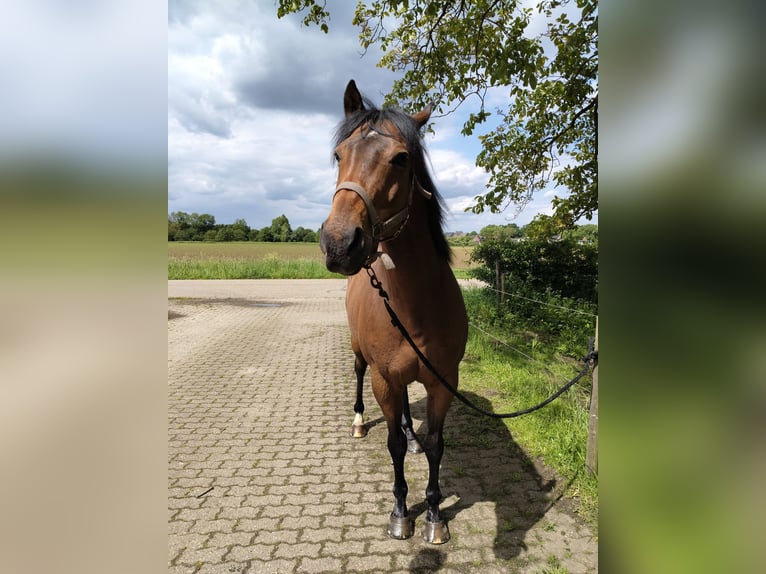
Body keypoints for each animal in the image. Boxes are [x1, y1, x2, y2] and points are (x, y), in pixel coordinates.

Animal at [320, 80, 468, 544]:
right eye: (339, 155)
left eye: (401, 159)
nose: (338, 244)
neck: (415, 304)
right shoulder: (384, 379)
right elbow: (393, 447)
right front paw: (402, 511)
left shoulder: (443, 381)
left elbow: (437, 445)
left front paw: (435, 515)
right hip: (360, 355)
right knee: (358, 375)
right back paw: (357, 421)